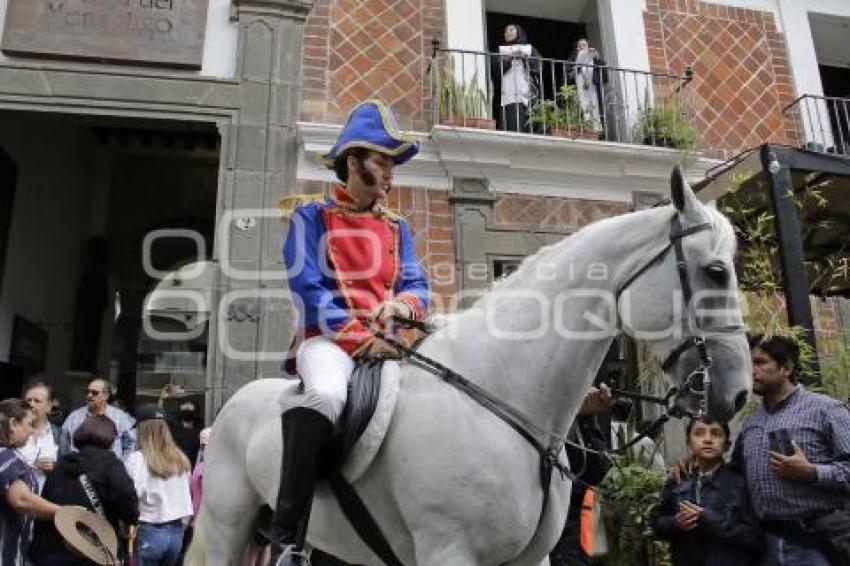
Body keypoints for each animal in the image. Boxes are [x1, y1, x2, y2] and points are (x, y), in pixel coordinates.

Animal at [190, 170, 748, 566]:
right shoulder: (449, 550)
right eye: (716, 271)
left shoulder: (530, 559)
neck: (499, 400)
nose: (739, 394)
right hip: (224, 528)